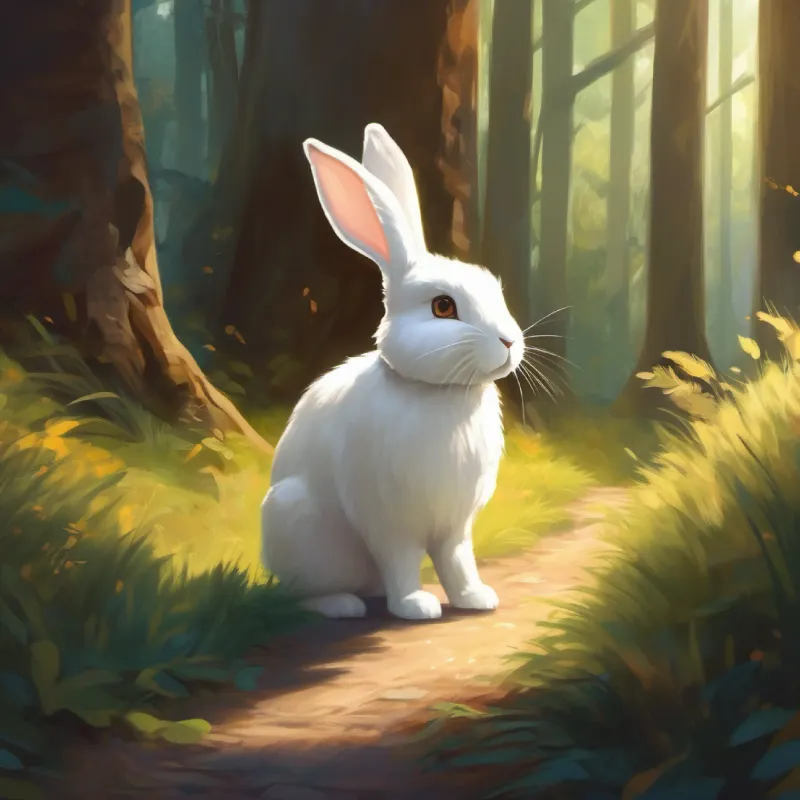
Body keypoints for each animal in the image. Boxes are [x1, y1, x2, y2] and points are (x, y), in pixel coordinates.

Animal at [260, 123, 524, 621]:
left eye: (495, 290)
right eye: (443, 307)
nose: (509, 342)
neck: (439, 393)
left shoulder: (454, 525)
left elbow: (457, 559)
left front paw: (475, 598)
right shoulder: (387, 521)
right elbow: (402, 560)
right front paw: (416, 607)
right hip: (299, 523)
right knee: (300, 591)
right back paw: (342, 604)